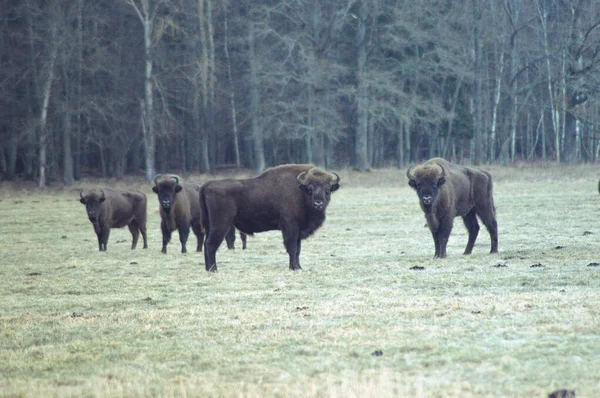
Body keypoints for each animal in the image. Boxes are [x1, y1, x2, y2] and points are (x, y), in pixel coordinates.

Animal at [199, 163, 340, 272]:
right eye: (310, 189)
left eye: (327, 190)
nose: (318, 204)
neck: (300, 191)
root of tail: (208, 185)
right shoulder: (290, 228)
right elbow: (292, 248)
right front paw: (294, 268)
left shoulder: (298, 231)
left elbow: (298, 250)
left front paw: (299, 267)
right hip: (220, 224)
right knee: (211, 244)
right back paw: (213, 269)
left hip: (209, 225)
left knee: (206, 244)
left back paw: (208, 269)